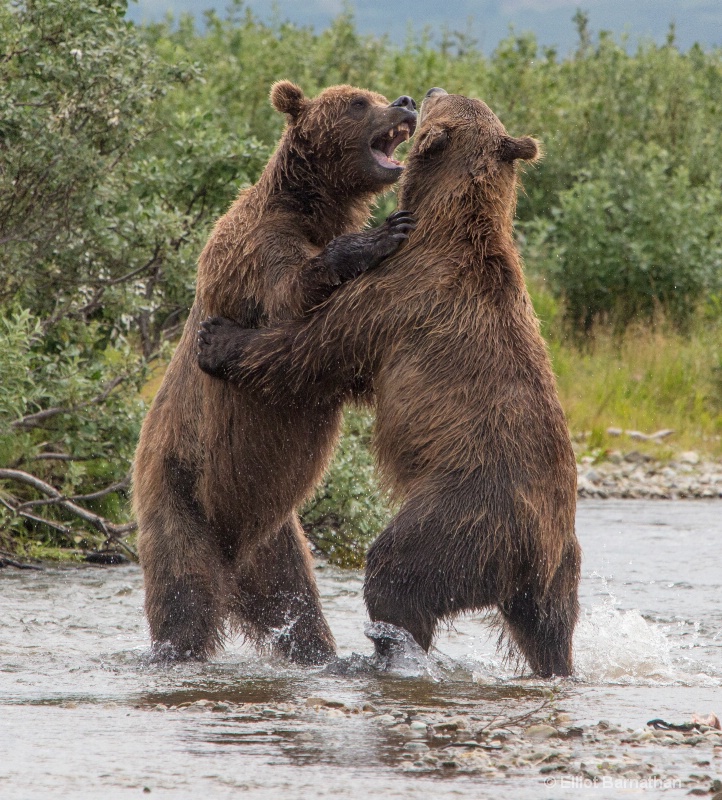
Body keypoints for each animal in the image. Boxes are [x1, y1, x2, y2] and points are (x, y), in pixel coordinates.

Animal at [131, 83, 416, 664]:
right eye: (357, 102)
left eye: (375, 93)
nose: (405, 101)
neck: (312, 209)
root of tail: (233, 560)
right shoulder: (252, 250)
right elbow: (290, 295)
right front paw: (378, 236)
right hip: (179, 493)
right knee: (184, 597)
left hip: (276, 539)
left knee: (299, 610)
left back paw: (319, 651)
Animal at [195, 87, 580, 676]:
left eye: (448, 96)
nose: (424, 92)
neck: (446, 219)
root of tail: (538, 551)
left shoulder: (395, 294)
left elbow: (311, 350)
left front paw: (218, 339)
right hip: (561, 567)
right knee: (551, 628)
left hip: (464, 516)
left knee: (397, 575)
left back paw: (390, 650)